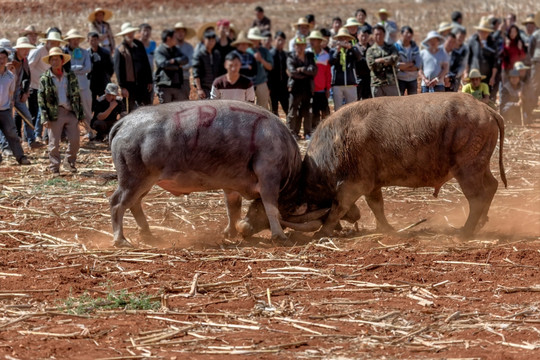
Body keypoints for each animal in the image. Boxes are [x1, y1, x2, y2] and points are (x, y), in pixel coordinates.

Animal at [109, 101, 304, 248]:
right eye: (290, 208)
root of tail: (125, 122)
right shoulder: (269, 178)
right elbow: (271, 208)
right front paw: (280, 236)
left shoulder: (231, 184)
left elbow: (233, 208)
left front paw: (230, 232)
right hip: (133, 180)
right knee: (117, 203)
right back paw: (120, 240)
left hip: (144, 183)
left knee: (134, 204)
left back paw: (148, 235)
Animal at [304, 93, 506, 236]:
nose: (356, 217)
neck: (338, 140)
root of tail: (485, 109)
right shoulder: (372, 185)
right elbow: (376, 206)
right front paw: (386, 228)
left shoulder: (354, 185)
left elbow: (339, 207)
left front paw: (321, 233)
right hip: (481, 164)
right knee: (492, 186)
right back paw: (480, 223)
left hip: (467, 170)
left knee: (477, 197)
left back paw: (465, 231)